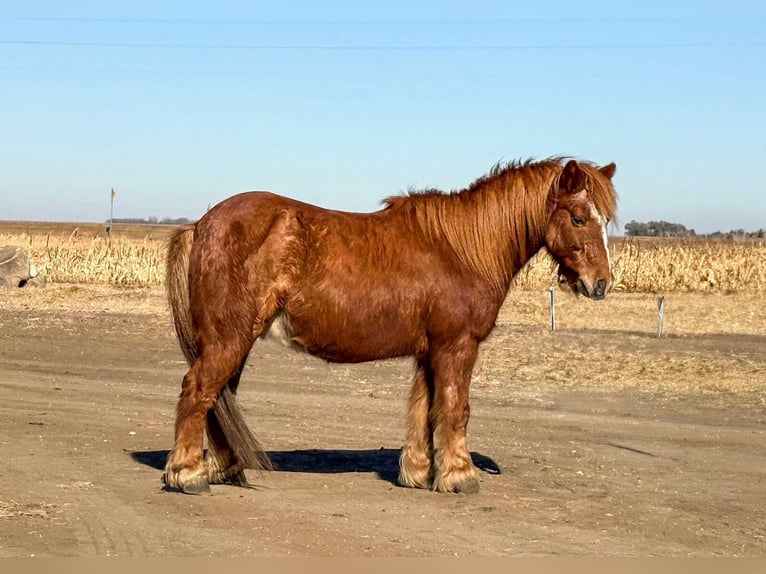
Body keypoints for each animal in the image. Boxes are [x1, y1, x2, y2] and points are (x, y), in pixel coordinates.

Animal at [162, 158, 616, 496]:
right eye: (579, 218)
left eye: (605, 221)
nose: (600, 283)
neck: (461, 250)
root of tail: (201, 225)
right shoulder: (458, 346)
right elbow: (455, 409)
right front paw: (460, 475)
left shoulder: (430, 351)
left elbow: (424, 409)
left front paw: (419, 472)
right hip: (229, 339)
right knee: (198, 391)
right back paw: (188, 474)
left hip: (232, 341)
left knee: (218, 398)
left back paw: (223, 468)